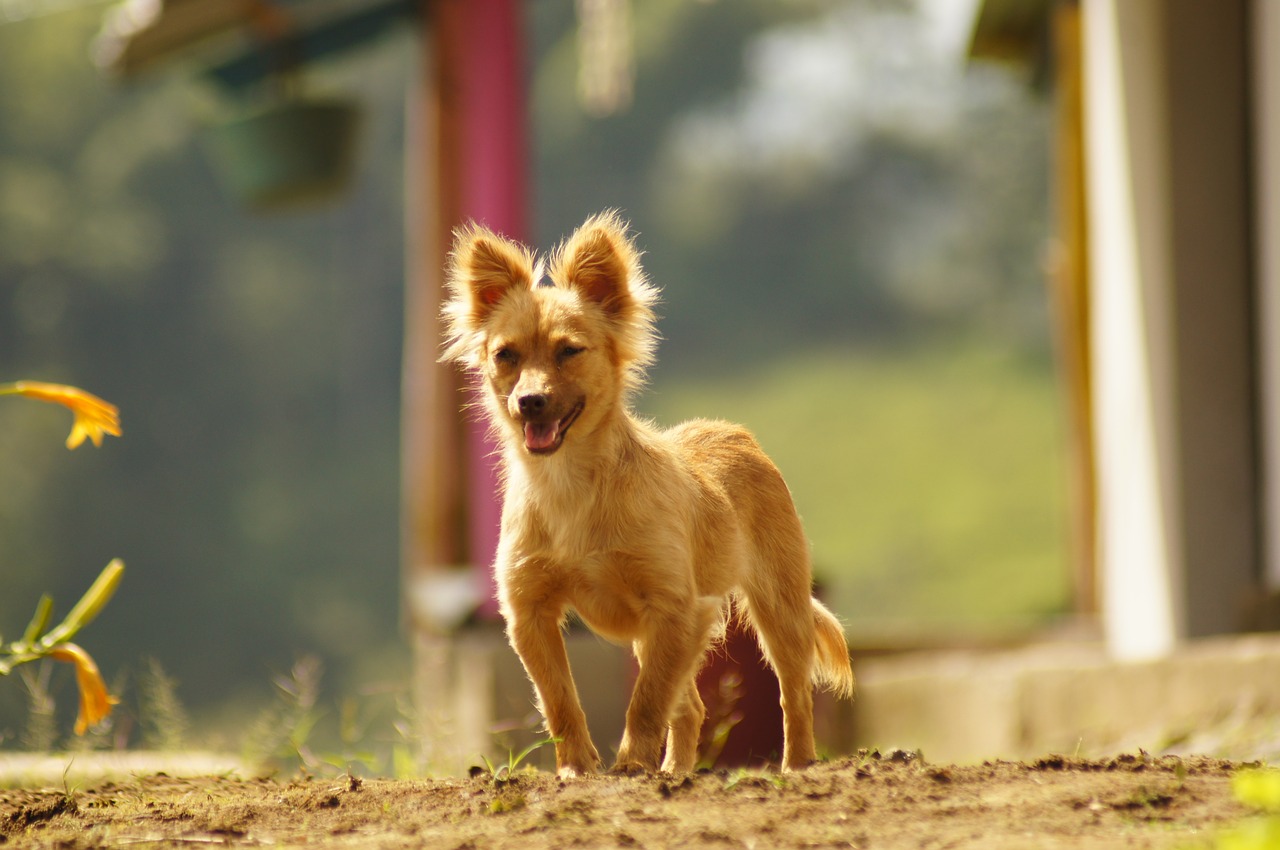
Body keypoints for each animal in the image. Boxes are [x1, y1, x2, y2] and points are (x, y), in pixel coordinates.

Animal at [440, 208, 849, 773]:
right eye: (506, 355)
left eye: (569, 351)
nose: (529, 402)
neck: (571, 484)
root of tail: (735, 432)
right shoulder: (531, 614)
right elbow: (561, 700)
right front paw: (577, 767)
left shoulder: (677, 607)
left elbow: (647, 700)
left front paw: (630, 765)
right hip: (655, 635)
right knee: (692, 708)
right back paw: (676, 772)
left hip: (777, 608)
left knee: (793, 692)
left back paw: (798, 763)